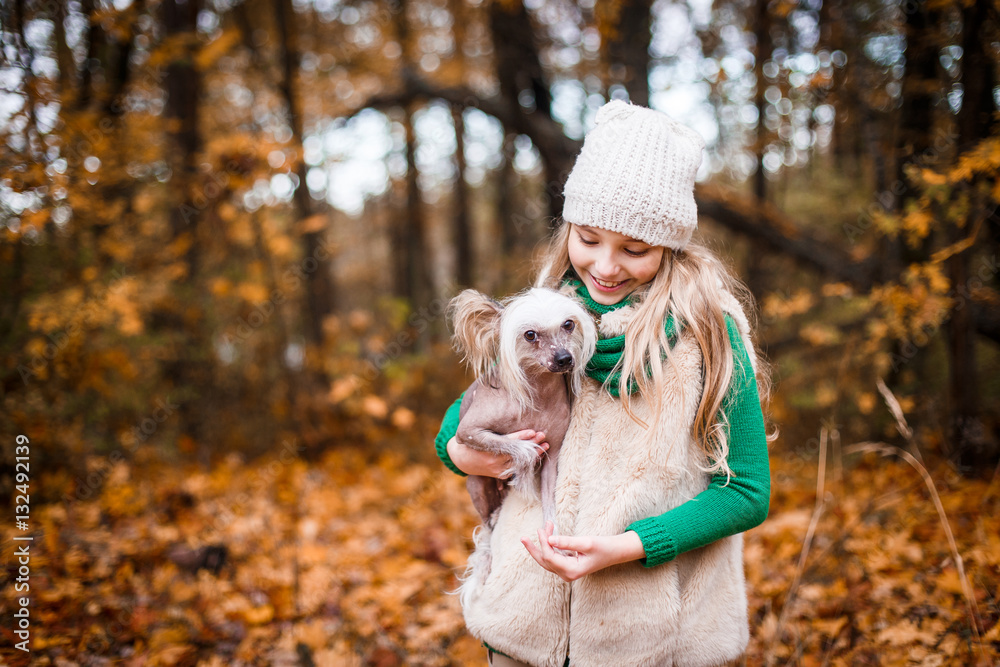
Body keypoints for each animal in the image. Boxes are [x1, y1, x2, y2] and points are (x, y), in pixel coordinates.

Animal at [446, 288, 592, 588]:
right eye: (530, 335)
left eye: (568, 324)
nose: (564, 358)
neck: (539, 396)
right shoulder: (468, 431)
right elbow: (512, 444)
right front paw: (525, 459)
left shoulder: (554, 457)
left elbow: (549, 499)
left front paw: (552, 536)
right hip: (477, 485)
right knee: (488, 526)